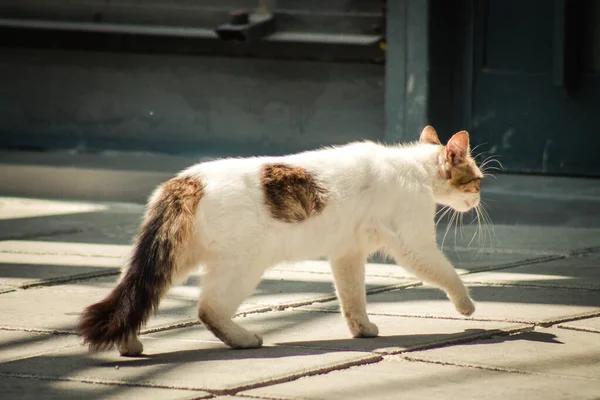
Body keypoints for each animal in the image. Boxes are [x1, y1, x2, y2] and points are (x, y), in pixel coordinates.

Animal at [78, 125, 482, 356]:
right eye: (477, 179)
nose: (479, 198)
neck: (414, 167)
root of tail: (188, 180)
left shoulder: (347, 254)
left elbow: (352, 298)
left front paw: (361, 329)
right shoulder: (415, 245)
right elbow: (447, 274)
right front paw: (466, 306)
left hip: (172, 258)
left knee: (135, 295)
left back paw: (129, 344)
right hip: (242, 265)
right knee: (208, 309)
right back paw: (243, 339)